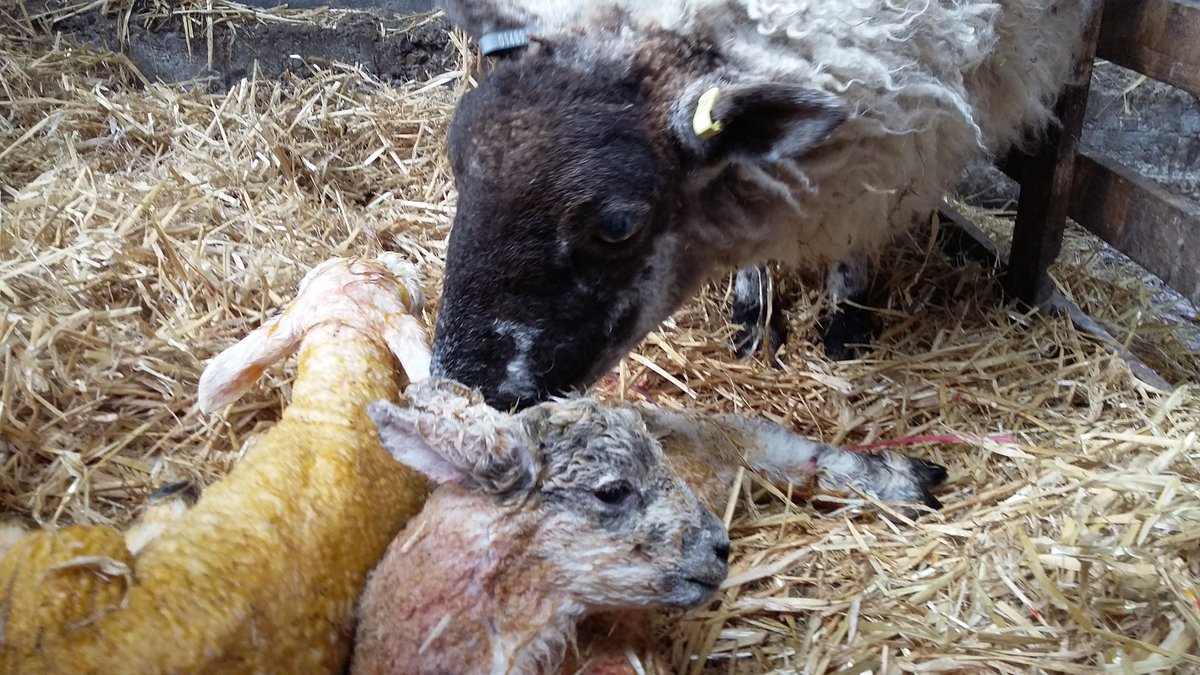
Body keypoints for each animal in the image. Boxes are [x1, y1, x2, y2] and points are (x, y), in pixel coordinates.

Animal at [427, 0, 1098, 409]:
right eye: (457, 161)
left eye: (618, 225)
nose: (466, 388)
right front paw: (754, 317)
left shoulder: (897, 141)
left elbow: (862, 224)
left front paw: (846, 322)